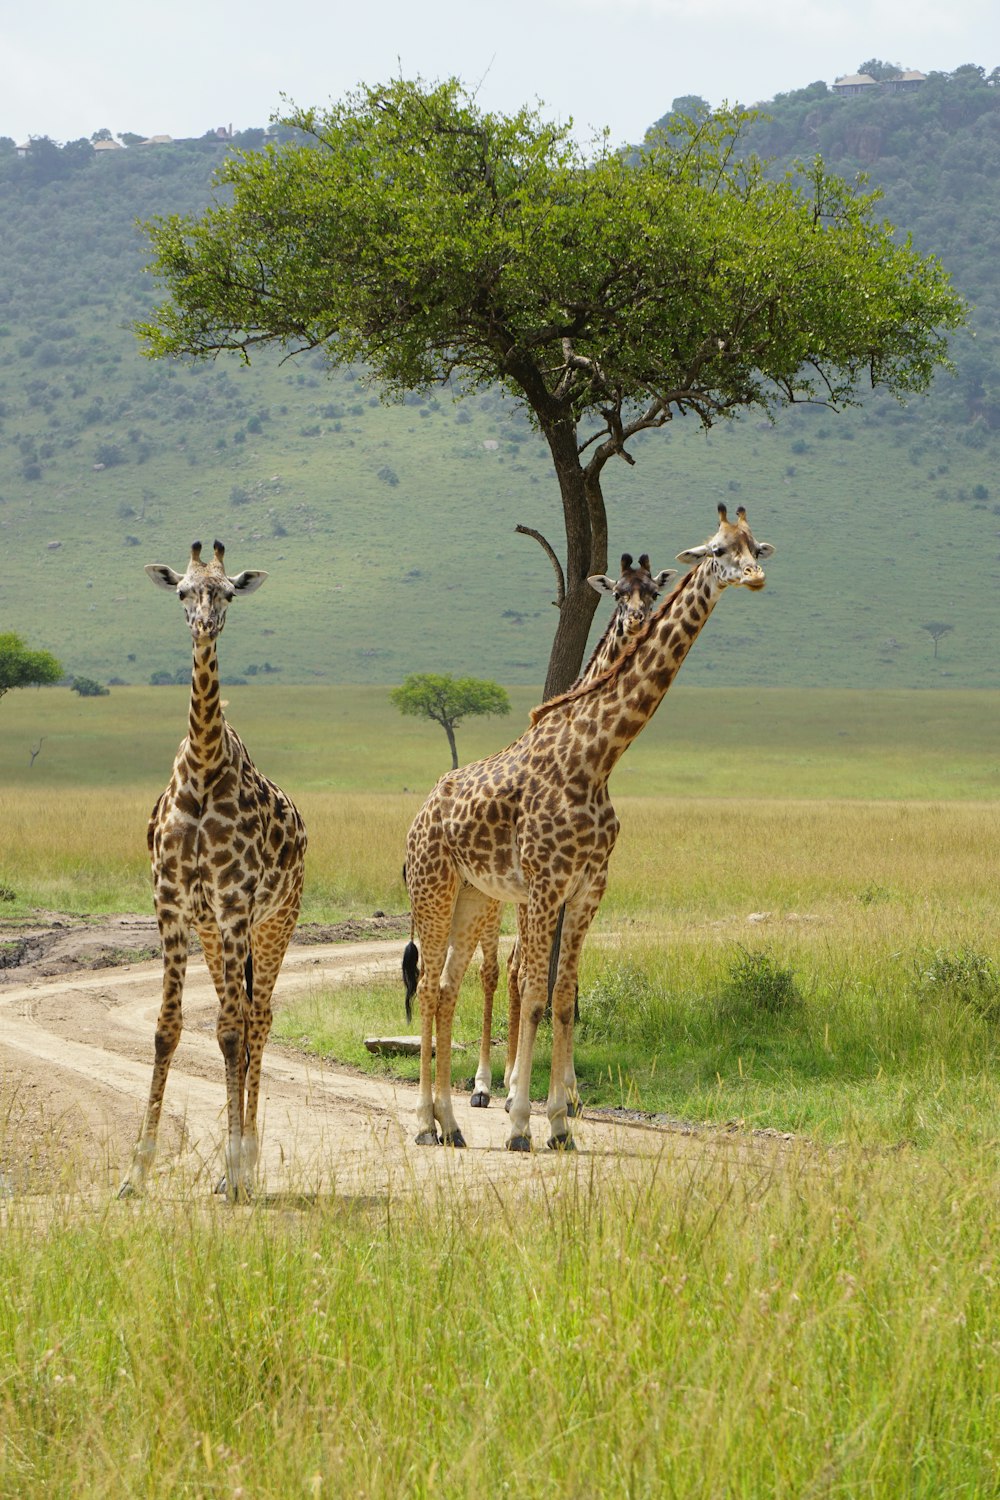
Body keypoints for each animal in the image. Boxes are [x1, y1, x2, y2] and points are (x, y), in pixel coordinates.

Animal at [118, 537, 305, 1194]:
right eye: (181, 590)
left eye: (227, 593)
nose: (204, 624)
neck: (201, 768)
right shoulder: (173, 907)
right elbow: (166, 1030)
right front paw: (136, 1172)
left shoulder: (233, 904)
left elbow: (229, 1033)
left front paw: (233, 1168)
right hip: (215, 934)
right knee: (242, 1019)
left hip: (273, 923)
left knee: (257, 1020)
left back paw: (244, 1167)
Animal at [404, 504, 773, 1146]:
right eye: (717, 550)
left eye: (754, 545)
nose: (754, 576)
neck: (599, 759)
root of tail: (420, 815)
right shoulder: (543, 886)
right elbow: (532, 992)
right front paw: (520, 1121)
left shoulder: (588, 889)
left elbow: (564, 995)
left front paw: (559, 1123)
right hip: (435, 890)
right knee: (431, 987)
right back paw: (428, 1121)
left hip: (472, 897)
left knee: (447, 988)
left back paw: (451, 1124)